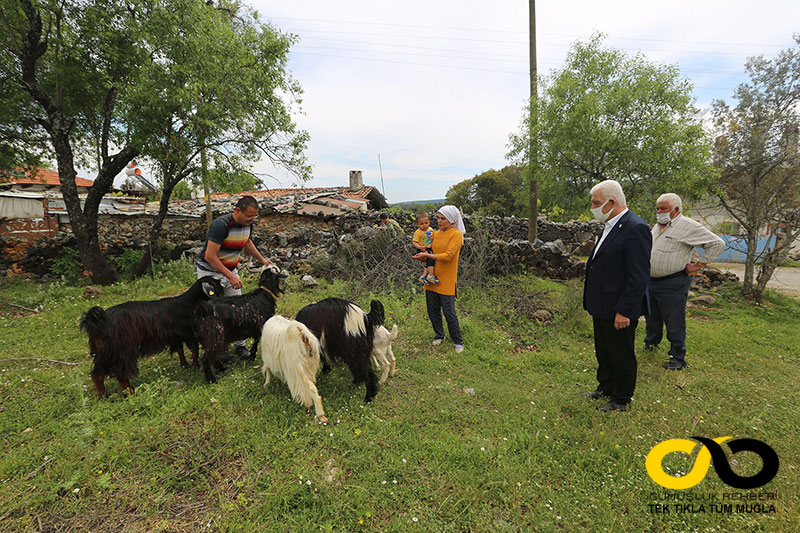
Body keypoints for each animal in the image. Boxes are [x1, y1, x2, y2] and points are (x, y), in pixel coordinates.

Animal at [80, 274, 223, 394]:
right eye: (216, 286)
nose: (224, 295)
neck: (187, 303)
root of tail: (99, 320)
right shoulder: (188, 333)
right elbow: (194, 349)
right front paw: (195, 366)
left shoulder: (175, 337)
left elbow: (180, 350)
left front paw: (185, 366)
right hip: (124, 349)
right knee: (120, 374)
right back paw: (131, 392)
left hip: (105, 351)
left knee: (97, 374)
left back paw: (103, 395)